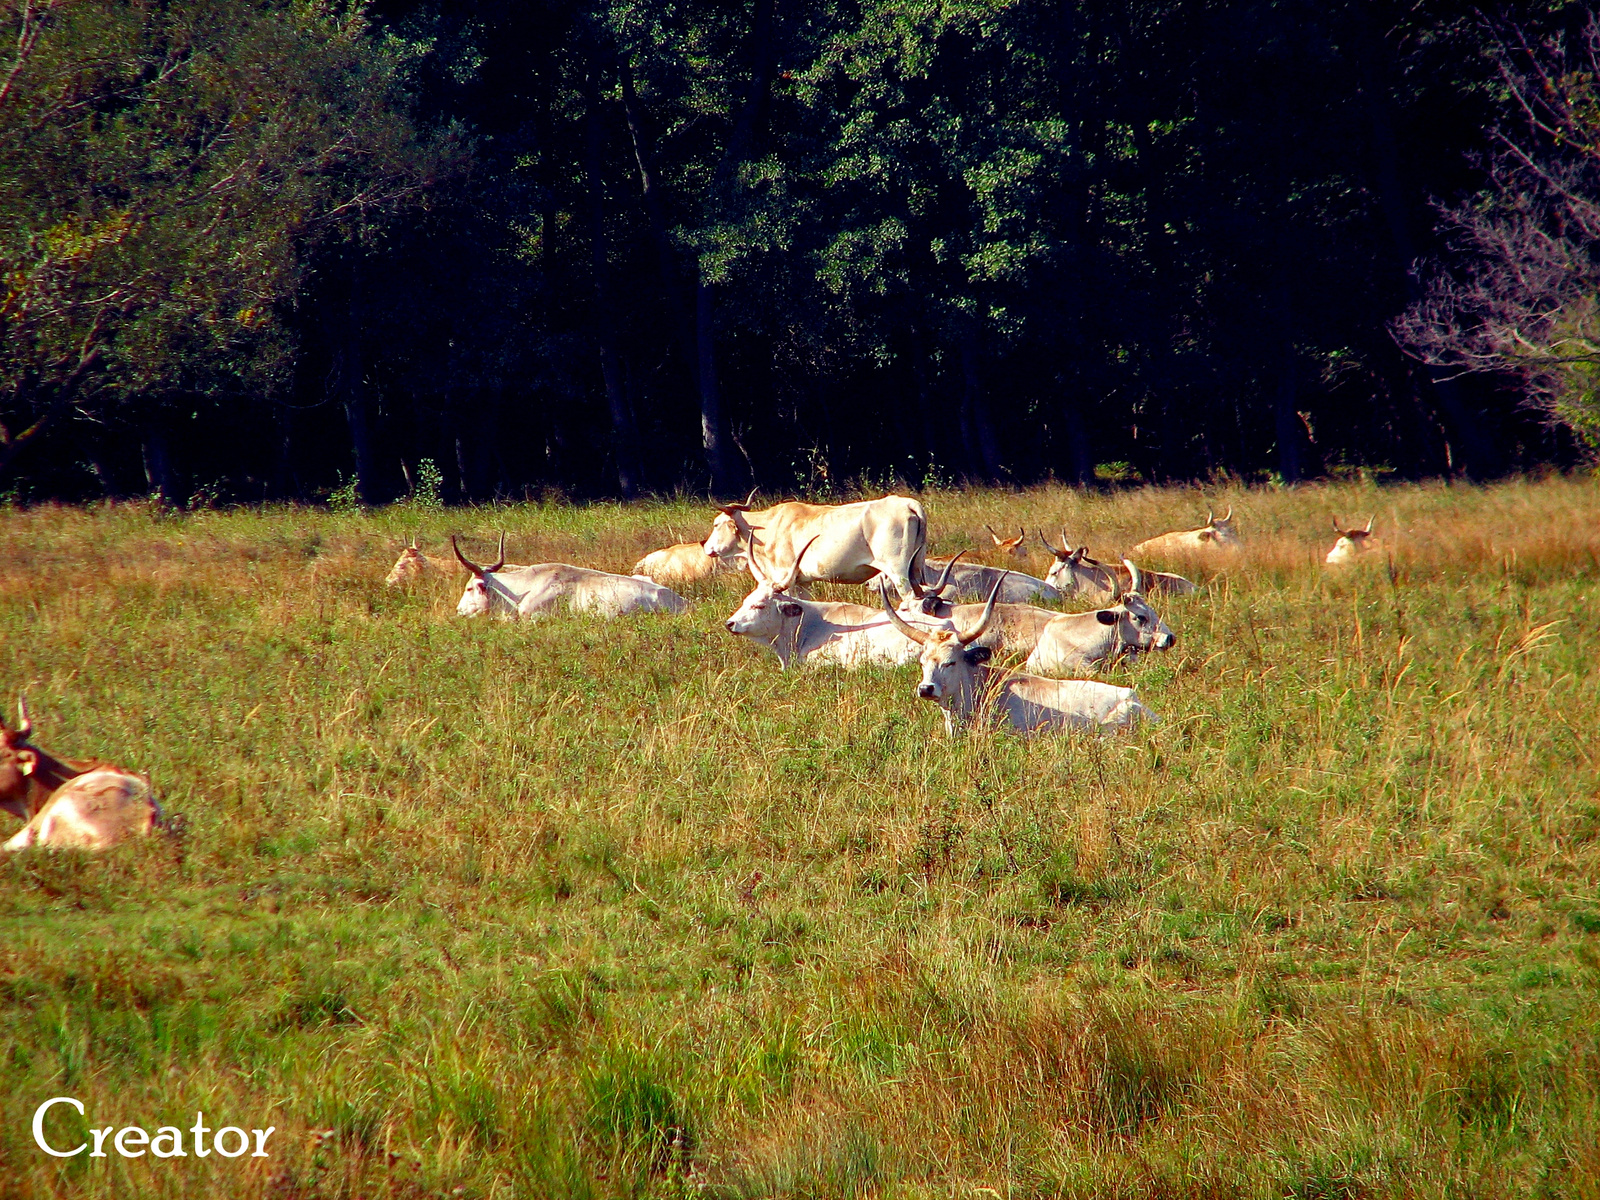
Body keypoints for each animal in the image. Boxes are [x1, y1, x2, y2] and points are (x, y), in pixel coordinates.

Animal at [707, 492, 934, 601]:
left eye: (716, 524)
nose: (707, 547)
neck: (769, 527)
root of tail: (907, 503)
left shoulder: (785, 578)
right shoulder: (802, 582)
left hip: (899, 571)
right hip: (916, 568)